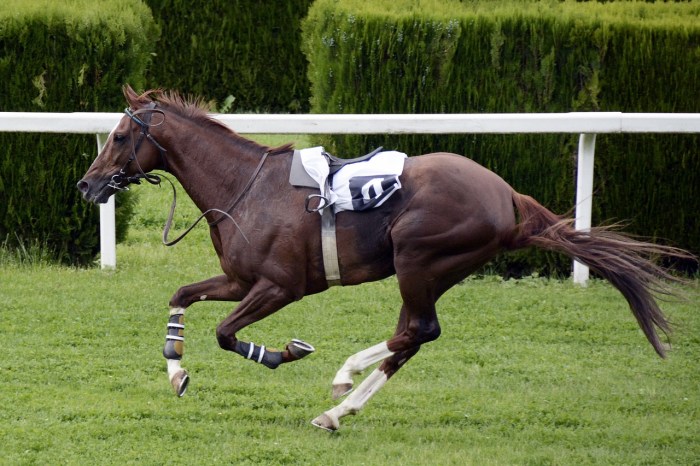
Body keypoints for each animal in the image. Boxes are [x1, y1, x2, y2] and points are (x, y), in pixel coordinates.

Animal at [77, 85, 692, 431]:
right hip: (429, 270)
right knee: (412, 337)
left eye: (119, 136)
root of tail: (506, 195)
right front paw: (176, 371)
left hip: (419, 259)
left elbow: (227, 334)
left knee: (417, 330)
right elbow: (181, 296)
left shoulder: (280, 286)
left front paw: (283, 352)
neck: (244, 188)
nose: (87, 185)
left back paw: (342, 379)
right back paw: (337, 410)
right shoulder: (239, 278)